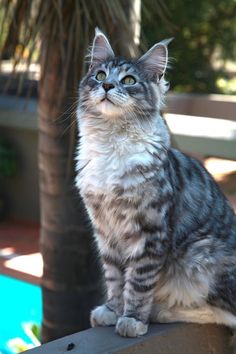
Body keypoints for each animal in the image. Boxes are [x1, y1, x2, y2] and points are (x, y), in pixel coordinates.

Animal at [75, 27, 236, 338]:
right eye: (100, 75)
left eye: (128, 80)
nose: (107, 86)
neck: (112, 142)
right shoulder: (105, 231)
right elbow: (115, 278)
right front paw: (112, 310)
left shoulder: (149, 231)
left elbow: (138, 283)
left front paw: (132, 319)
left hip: (202, 255)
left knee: (221, 314)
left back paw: (161, 311)